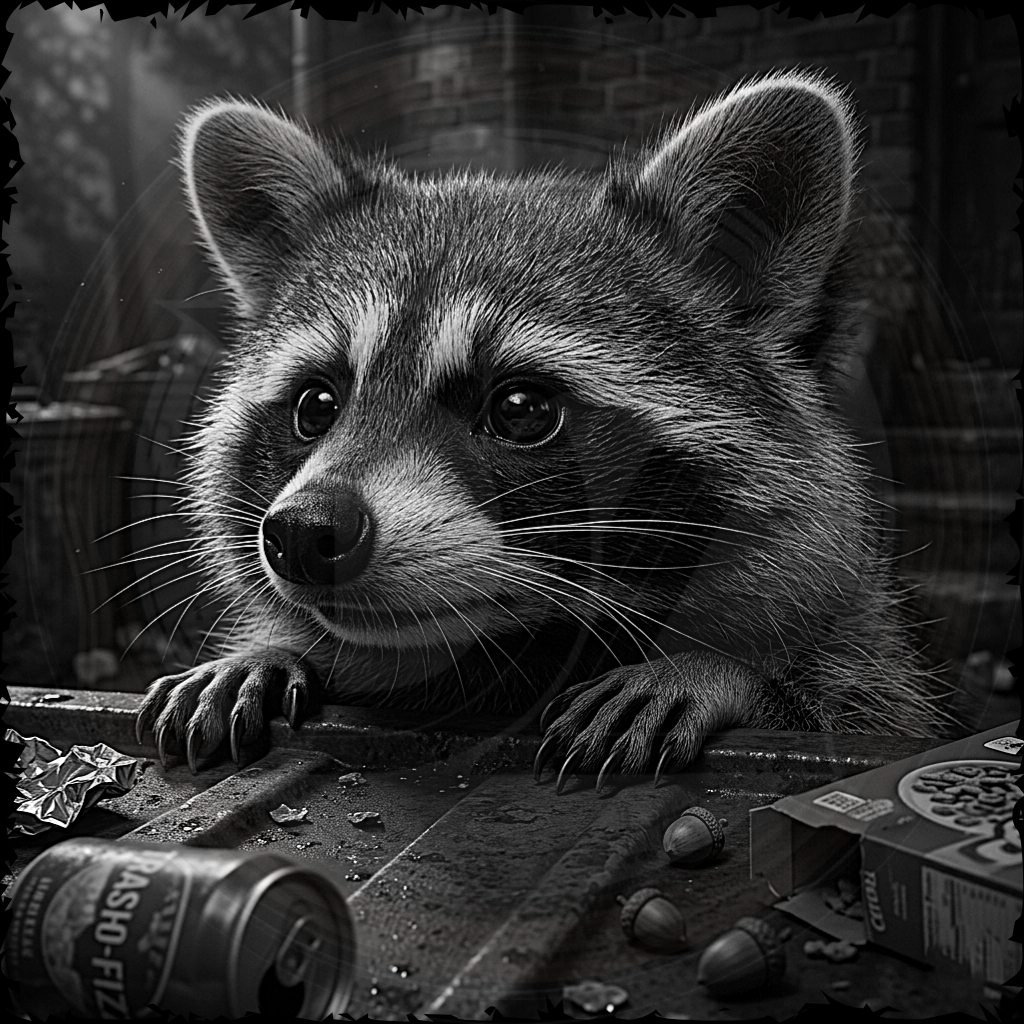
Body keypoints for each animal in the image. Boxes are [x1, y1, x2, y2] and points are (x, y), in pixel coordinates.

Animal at [136, 70, 951, 784]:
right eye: (316, 406)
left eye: (520, 409)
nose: (305, 532)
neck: (504, 656)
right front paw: (268, 649)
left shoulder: (860, 652)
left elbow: (860, 708)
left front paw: (725, 673)